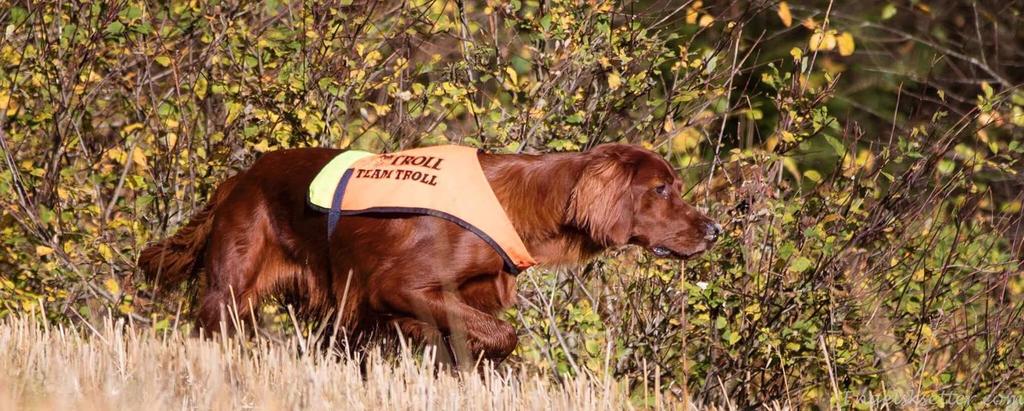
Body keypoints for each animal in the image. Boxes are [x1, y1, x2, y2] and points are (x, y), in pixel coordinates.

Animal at [140, 142, 720, 360]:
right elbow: (503, 336)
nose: (714, 230)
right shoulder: (393, 286)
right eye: (661, 189)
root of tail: (238, 180)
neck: (518, 205)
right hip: (229, 288)